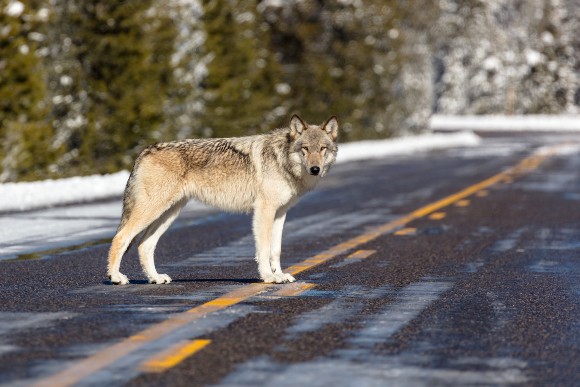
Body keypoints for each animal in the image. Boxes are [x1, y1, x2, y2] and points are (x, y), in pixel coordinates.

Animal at [106, 114, 338, 284]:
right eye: (305, 148)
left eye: (322, 149)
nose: (315, 169)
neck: (282, 160)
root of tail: (145, 150)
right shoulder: (264, 211)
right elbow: (263, 249)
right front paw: (268, 277)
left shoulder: (280, 213)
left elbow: (276, 250)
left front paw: (279, 275)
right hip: (153, 210)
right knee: (121, 237)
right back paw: (116, 277)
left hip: (169, 214)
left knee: (144, 245)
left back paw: (155, 278)